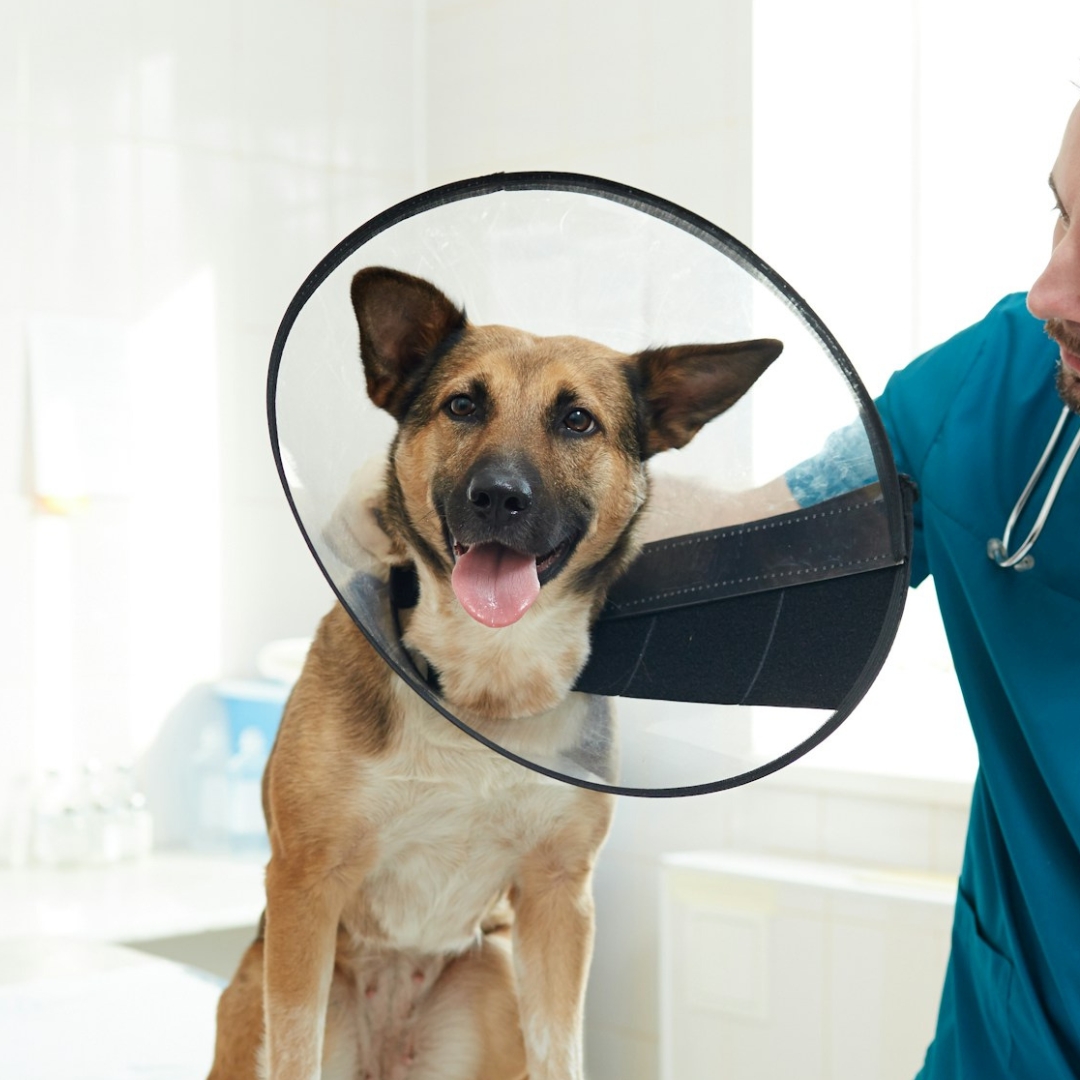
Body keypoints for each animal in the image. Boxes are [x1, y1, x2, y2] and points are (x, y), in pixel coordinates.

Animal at [208, 263, 786, 1080]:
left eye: (577, 421)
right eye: (462, 406)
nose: (498, 497)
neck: (485, 678)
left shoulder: (558, 899)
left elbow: (563, 1053)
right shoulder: (305, 887)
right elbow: (296, 1051)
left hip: (495, 975)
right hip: (266, 994)